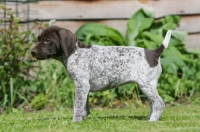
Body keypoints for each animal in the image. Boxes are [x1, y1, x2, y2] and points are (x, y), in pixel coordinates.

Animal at [31, 25, 172, 122]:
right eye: (39, 39)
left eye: (47, 40)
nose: (32, 52)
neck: (74, 53)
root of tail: (154, 53)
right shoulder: (84, 87)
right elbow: (84, 106)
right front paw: (83, 118)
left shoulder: (81, 85)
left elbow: (78, 106)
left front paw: (75, 121)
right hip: (148, 86)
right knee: (153, 103)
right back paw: (149, 117)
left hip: (146, 85)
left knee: (159, 103)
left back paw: (152, 120)